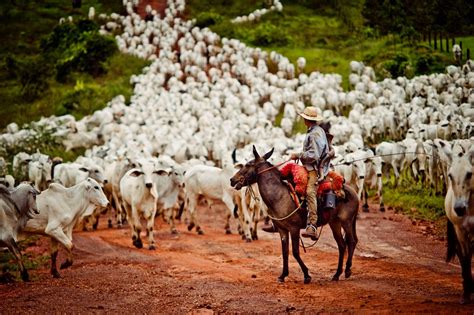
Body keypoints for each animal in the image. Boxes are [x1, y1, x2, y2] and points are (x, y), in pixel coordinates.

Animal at [231, 147, 360, 286]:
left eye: (248, 164)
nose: (232, 180)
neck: (279, 196)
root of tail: (353, 192)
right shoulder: (282, 230)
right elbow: (285, 252)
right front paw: (283, 275)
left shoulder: (294, 229)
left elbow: (295, 252)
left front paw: (307, 275)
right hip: (334, 223)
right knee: (342, 245)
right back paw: (336, 274)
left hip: (346, 221)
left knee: (351, 242)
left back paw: (347, 270)